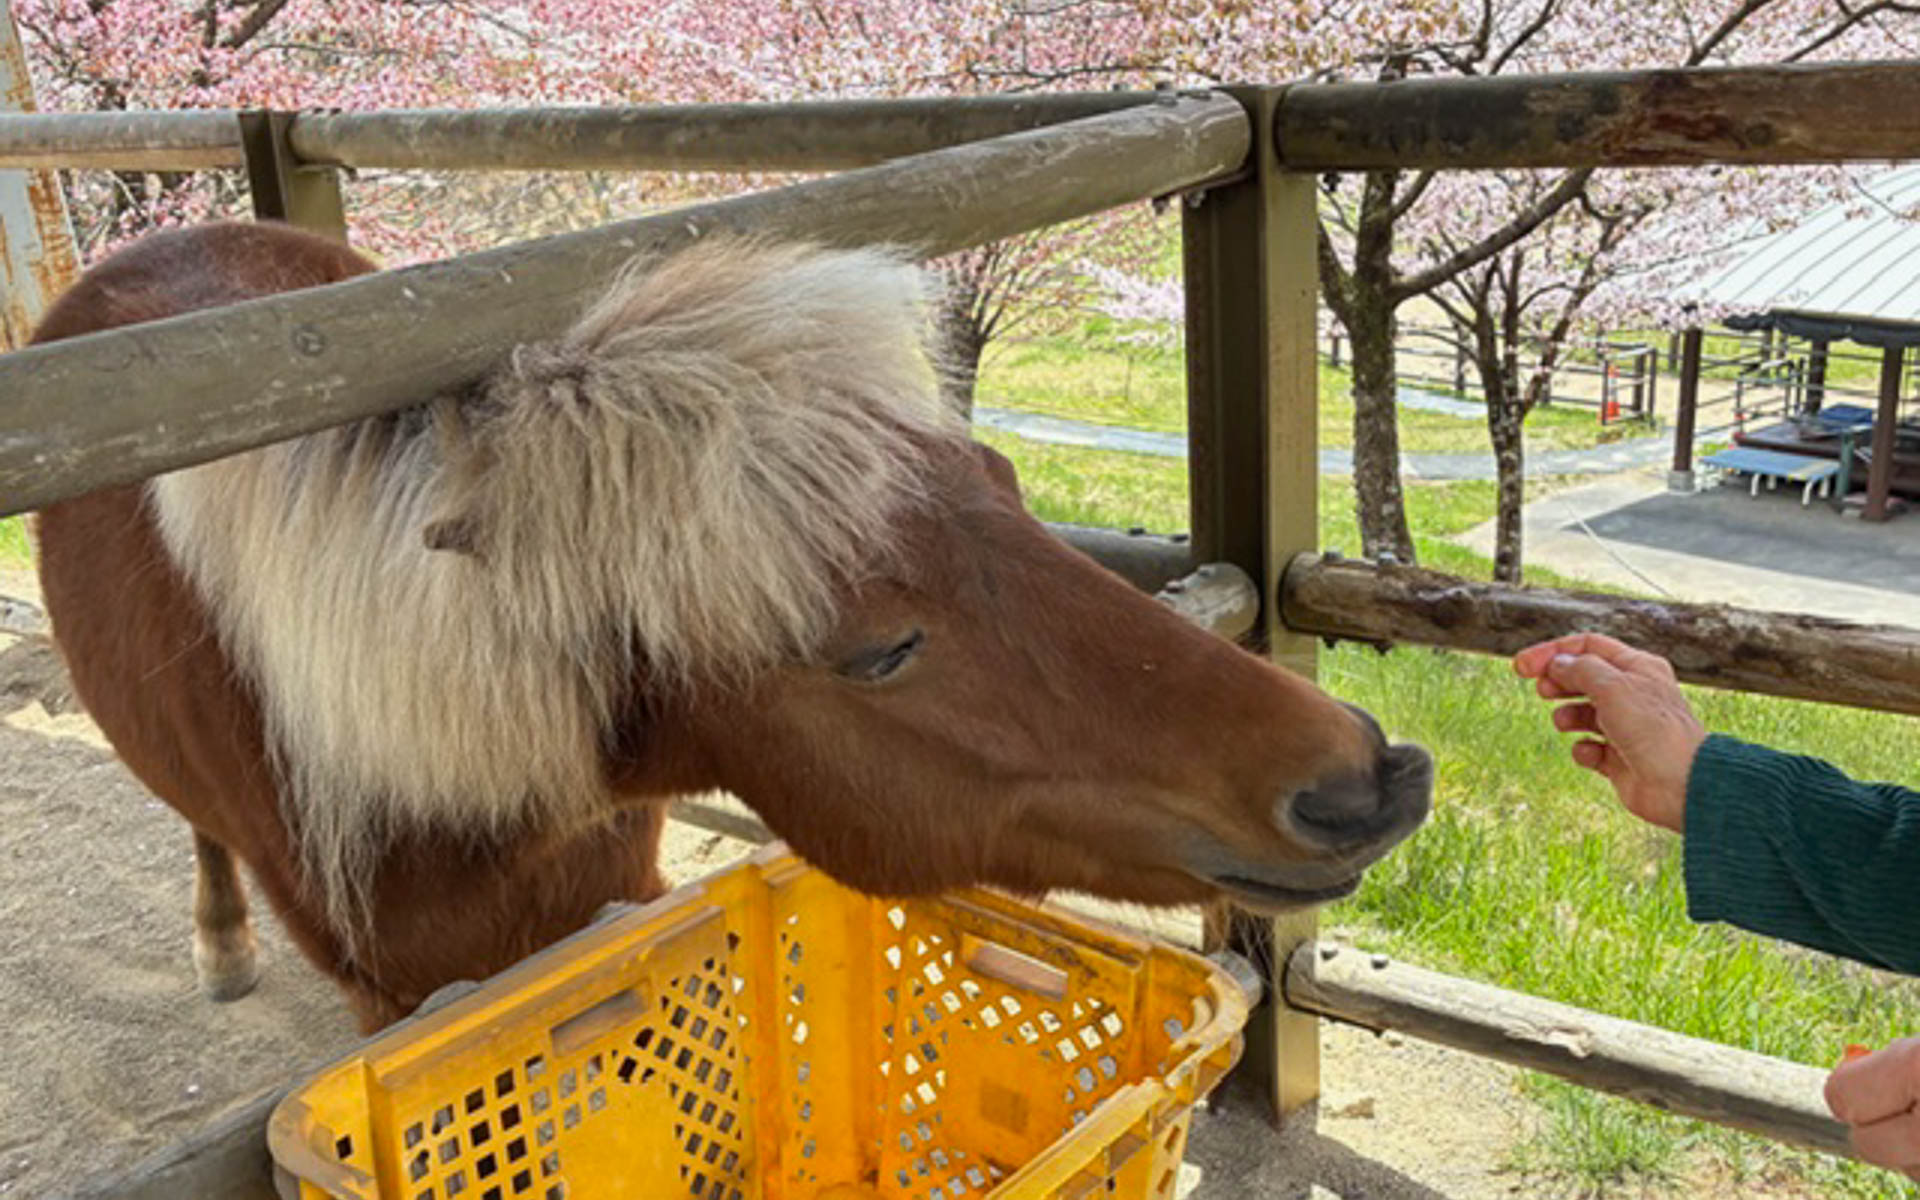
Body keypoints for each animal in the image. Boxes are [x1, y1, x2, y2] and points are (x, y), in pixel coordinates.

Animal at [29, 222, 1432, 1032]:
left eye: (1007, 484)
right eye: (881, 648)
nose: (1366, 776)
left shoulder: (619, 905)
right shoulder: (396, 1001)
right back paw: (219, 945)